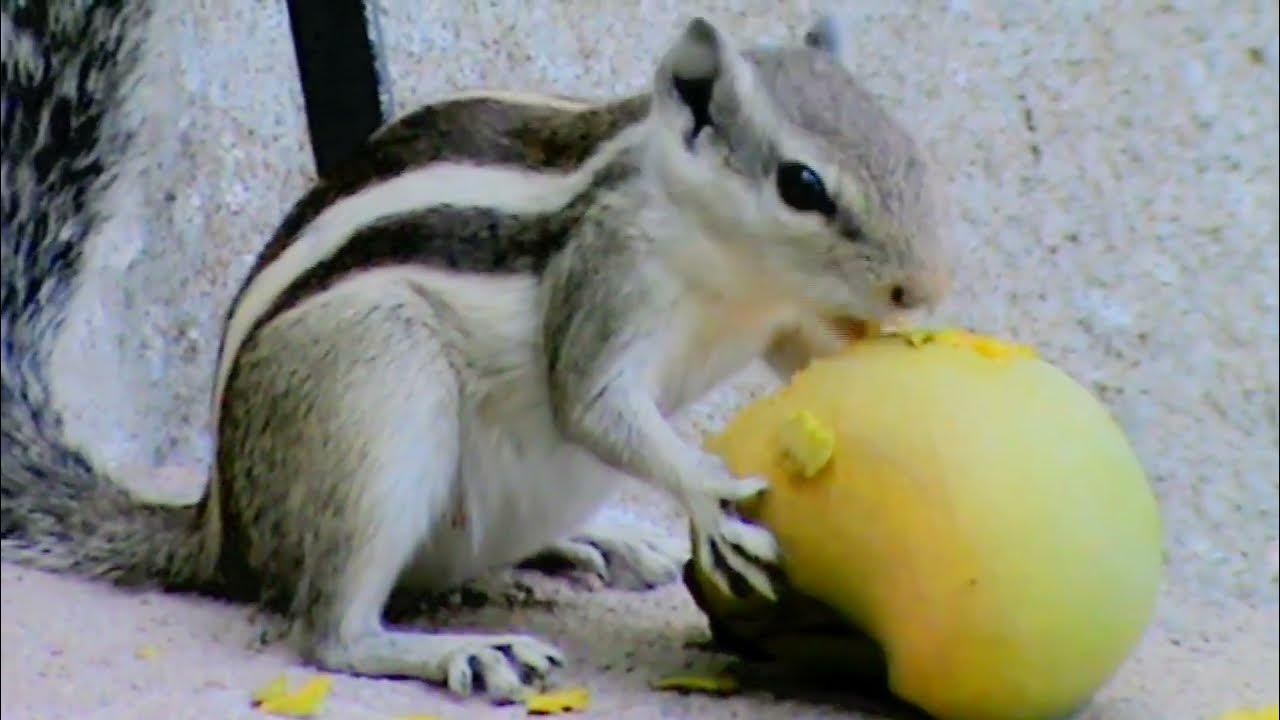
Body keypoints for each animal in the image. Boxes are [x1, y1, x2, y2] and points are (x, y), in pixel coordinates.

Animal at [2, 4, 951, 704]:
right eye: (802, 185)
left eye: (906, 145)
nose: (927, 287)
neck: (734, 271)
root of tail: (221, 527)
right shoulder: (603, 282)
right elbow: (592, 404)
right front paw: (711, 496)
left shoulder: (784, 319)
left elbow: (808, 355)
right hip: (372, 389)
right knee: (330, 631)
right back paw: (462, 651)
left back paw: (590, 541)